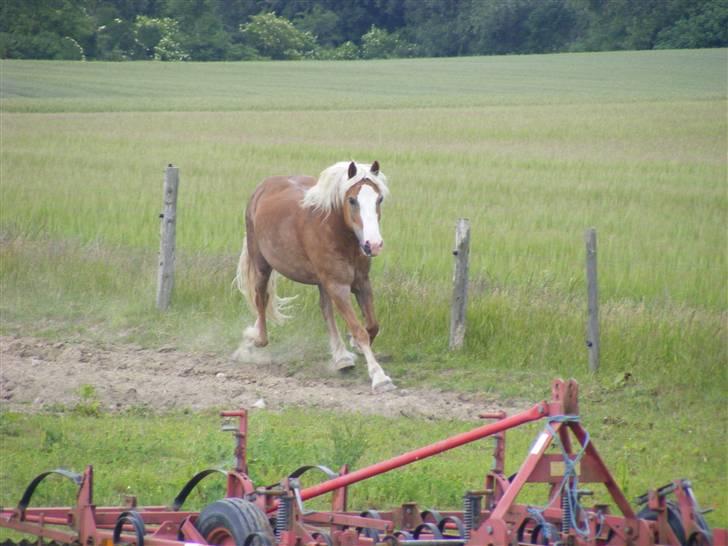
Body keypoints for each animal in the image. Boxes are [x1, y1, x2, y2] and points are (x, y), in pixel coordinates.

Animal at [235, 160, 396, 392]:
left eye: (379, 198)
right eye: (352, 200)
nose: (372, 245)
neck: (337, 233)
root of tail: (262, 187)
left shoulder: (361, 283)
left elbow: (372, 326)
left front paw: (353, 346)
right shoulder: (338, 286)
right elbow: (360, 330)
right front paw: (379, 377)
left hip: (322, 281)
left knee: (325, 310)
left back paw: (341, 358)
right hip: (262, 264)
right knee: (261, 299)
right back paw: (255, 340)